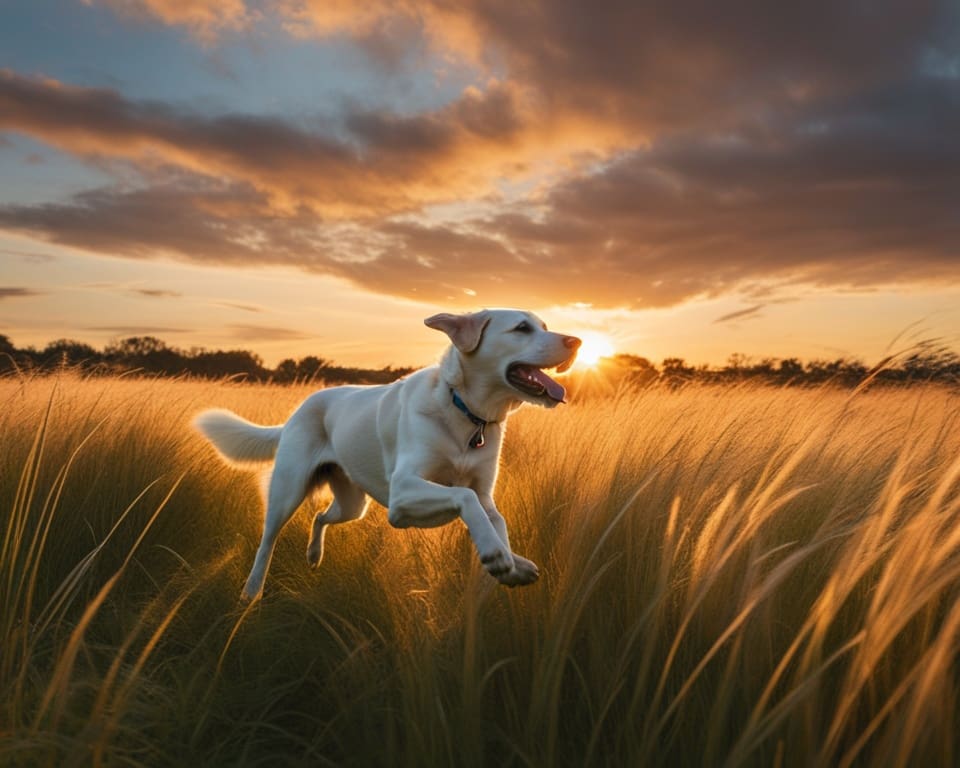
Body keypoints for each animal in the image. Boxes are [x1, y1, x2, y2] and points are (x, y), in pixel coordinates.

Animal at [195, 308, 580, 604]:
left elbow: (496, 520)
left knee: (320, 516)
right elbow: (464, 497)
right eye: (522, 328)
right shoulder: (402, 495)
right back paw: (251, 594)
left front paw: (512, 564)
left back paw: (314, 555)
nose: (577, 341)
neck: (467, 412)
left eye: (544, 325)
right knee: (267, 541)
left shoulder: (484, 495)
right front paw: (495, 554)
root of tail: (299, 408)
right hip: (288, 492)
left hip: (353, 505)